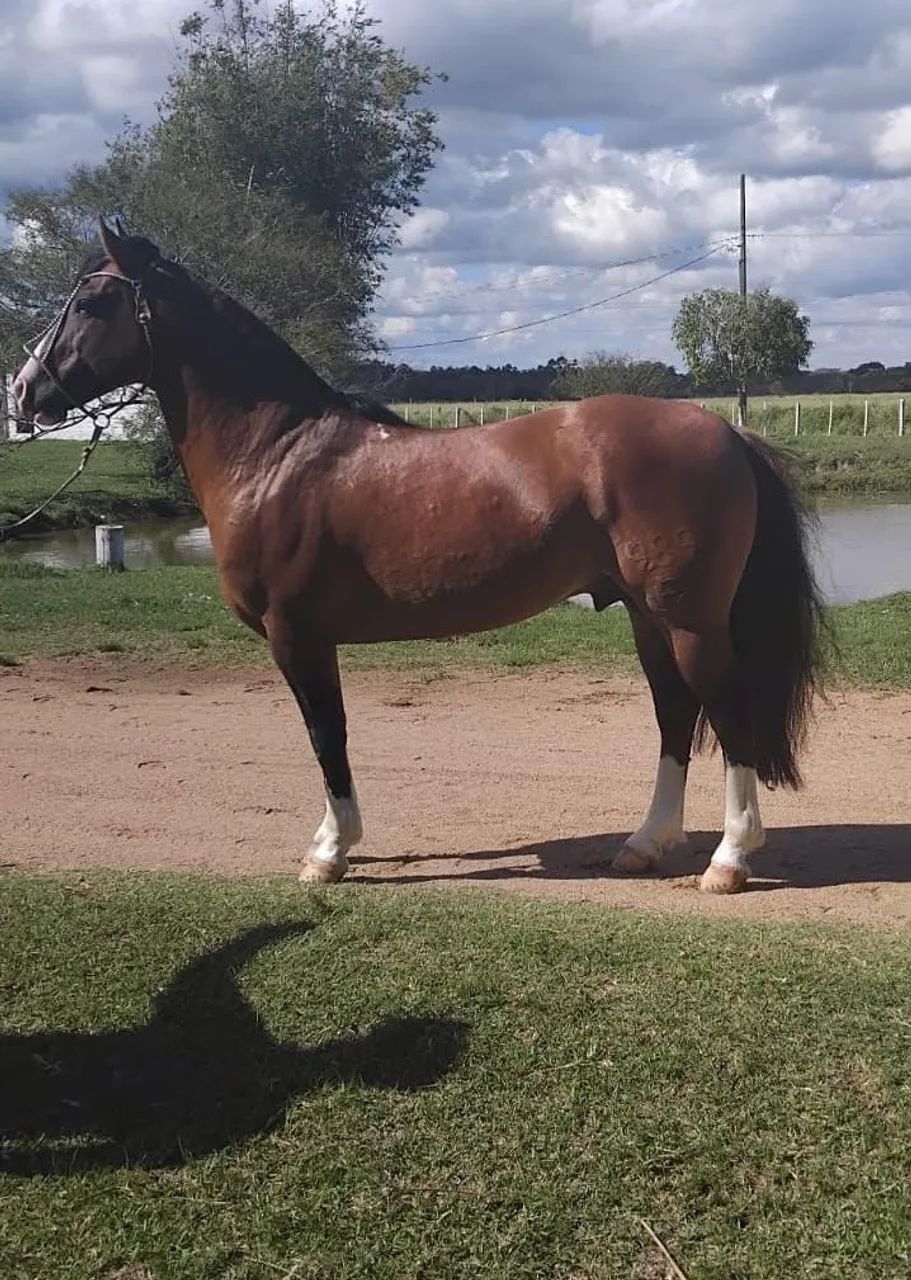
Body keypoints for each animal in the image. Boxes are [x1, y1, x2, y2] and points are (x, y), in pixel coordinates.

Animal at [13, 220, 825, 893]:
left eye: (91, 304)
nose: (24, 393)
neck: (278, 453)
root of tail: (725, 431)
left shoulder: (296, 636)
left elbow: (326, 736)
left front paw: (329, 853)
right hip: (647, 618)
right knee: (673, 714)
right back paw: (645, 845)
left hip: (686, 621)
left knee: (727, 712)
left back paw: (728, 860)